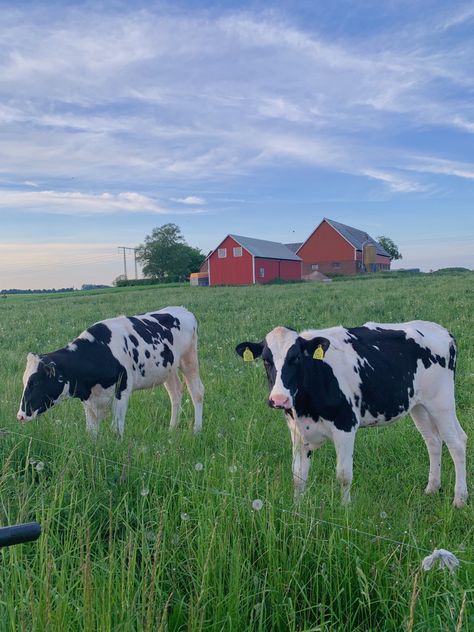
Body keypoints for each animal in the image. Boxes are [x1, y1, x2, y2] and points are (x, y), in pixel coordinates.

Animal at [17, 304, 204, 434]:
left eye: (35, 382)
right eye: (24, 381)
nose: (20, 415)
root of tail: (183, 310)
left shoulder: (122, 391)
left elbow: (116, 429)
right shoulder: (89, 399)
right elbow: (91, 432)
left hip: (189, 360)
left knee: (196, 392)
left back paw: (196, 430)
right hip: (168, 369)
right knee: (175, 394)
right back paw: (171, 429)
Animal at [236, 320, 466, 508]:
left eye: (297, 357)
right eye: (266, 360)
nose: (279, 399)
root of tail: (442, 330)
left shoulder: (345, 426)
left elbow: (343, 475)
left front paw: (345, 510)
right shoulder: (298, 432)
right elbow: (298, 476)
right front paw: (297, 510)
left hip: (441, 402)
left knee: (456, 442)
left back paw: (459, 499)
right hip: (419, 405)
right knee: (433, 441)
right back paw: (431, 489)